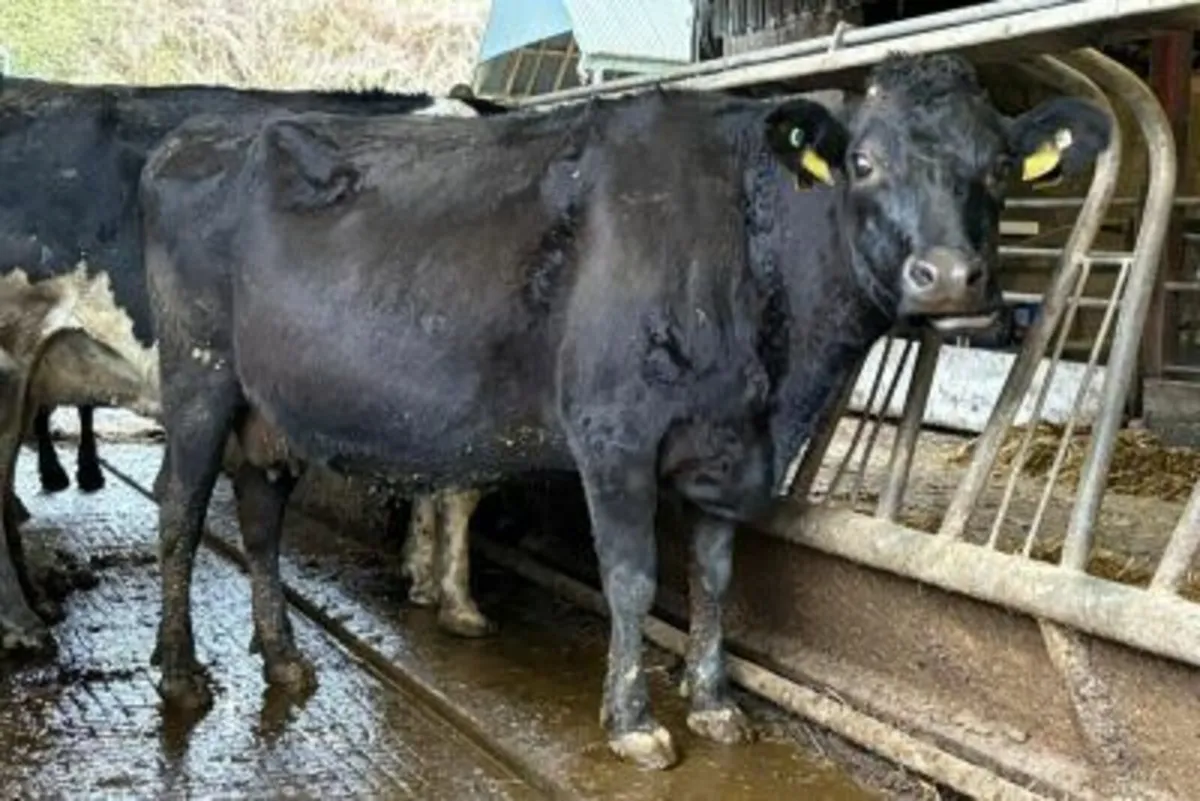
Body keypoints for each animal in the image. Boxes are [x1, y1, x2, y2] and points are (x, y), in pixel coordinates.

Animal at [140, 53, 1110, 770]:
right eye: (864, 161)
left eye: (998, 167)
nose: (949, 277)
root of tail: (196, 134)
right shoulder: (613, 436)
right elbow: (635, 578)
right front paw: (634, 722)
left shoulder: (731, 451)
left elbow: (717, 576)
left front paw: (714, 705)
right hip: (198, 376)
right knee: (179, 507)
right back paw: (183, 674)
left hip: (267, 409)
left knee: (259, 515)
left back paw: (285, 660)